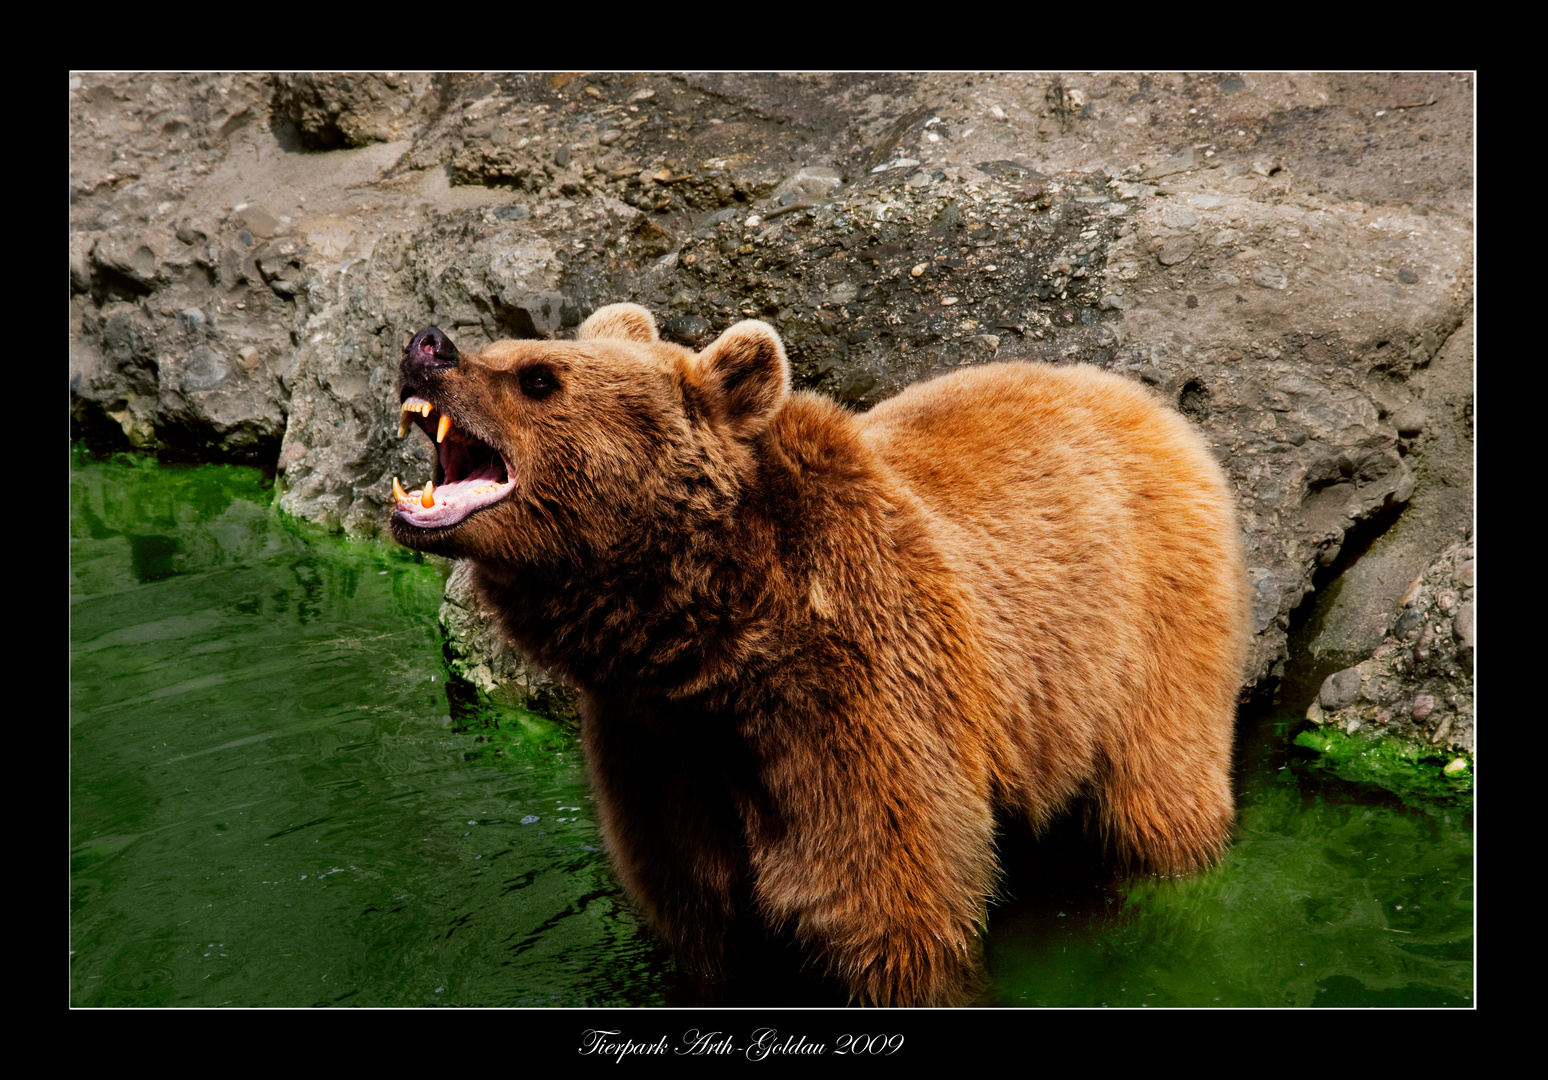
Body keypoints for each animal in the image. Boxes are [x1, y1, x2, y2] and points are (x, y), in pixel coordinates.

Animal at [390, 300, 1256, 1002]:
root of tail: (1143, 399)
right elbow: (705, 922)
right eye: (503, 346)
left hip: (1148, 630)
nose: (426, 345)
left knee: (1157, 804)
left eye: (538, 377)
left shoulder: (860, 710)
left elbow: (888, 918)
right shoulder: (657, 748)